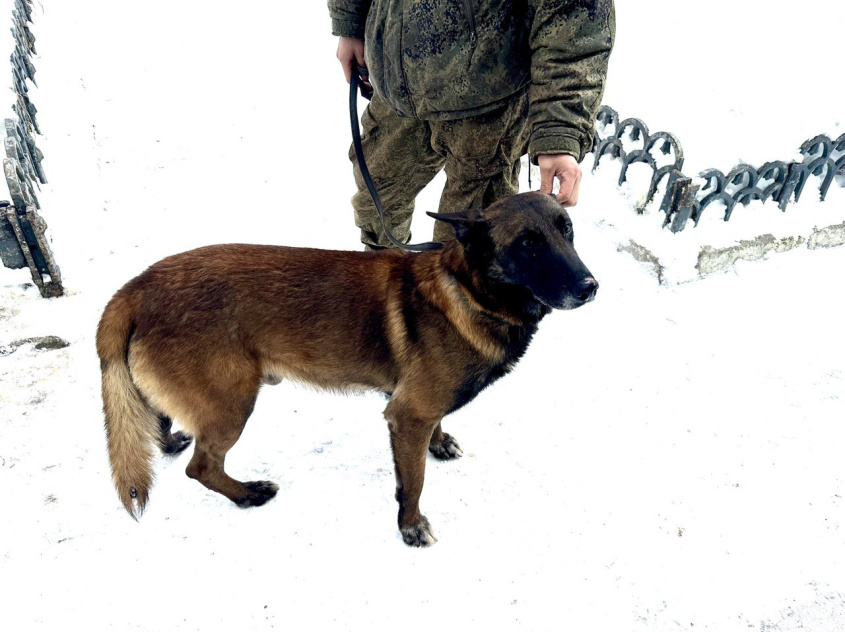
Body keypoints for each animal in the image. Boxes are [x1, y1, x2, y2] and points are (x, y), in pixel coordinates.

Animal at [97, 190, 600, 544]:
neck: (469, 291)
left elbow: (432, 435)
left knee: (161, 421)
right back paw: (247, 494)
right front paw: (411, 526)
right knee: (201, 468)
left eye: (568, 231)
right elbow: (413, 482)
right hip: (232, 405)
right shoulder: (407, 416)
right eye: (528, 244)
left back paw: (171, 441)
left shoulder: (420, 407)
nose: (590, 286)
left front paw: (439, 444)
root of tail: (137, 286)